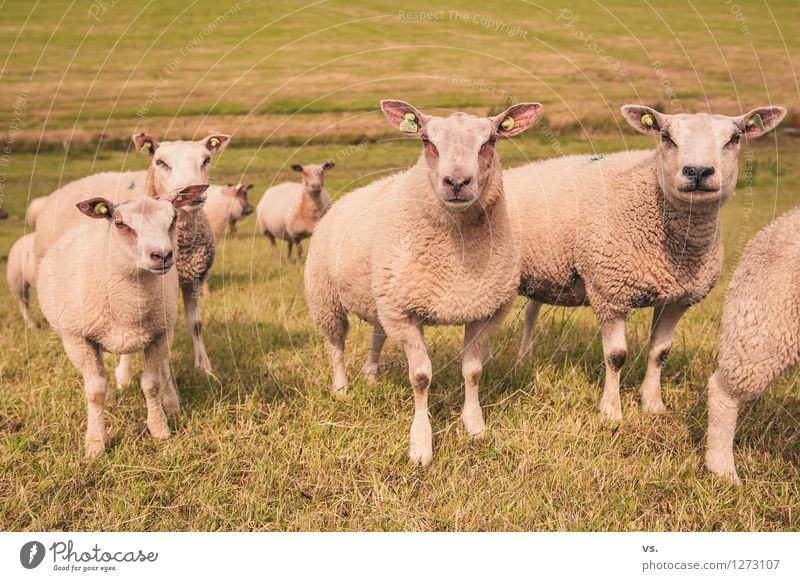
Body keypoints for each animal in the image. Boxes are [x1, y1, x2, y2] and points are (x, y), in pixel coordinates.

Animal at [32, 131, 230, 372]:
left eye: (206, 160)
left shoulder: (192, 279)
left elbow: (196, 325)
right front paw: (127, 372)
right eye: (160, 162)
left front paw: (204, 367)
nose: (193, 193)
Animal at [38, 186, 208, 458]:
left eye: (172, 219)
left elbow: (151, 383)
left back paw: (171, 402)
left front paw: (159, 428)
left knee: (162, 366)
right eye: (120, 223)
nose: (162, 255)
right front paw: (96, 443)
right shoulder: (77, 339)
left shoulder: (159, 333)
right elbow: (96, 391)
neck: (128, 304)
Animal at [306, 98, 544, 462]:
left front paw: (475, 427)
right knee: (335, 344)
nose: (457, 182)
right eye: (426, 140)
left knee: (377, 336)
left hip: (382, 298)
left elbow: (472, 370)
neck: (457, 252)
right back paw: (341, 388)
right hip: (326, 297)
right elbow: (420, 377)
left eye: (491, 140)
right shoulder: (405, 314)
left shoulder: (483, 310)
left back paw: (371, 377)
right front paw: (420, 444)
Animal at [506, 104, 788, 420]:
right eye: (666, 136)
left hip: (543, 275)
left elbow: (660, 352)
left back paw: (525, 359)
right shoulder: (610, 292)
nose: (698, 171)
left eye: (735, 138)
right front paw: (611, 411)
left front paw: (653, 404)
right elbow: (616, 356)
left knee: (531, 311)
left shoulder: (676, 300)